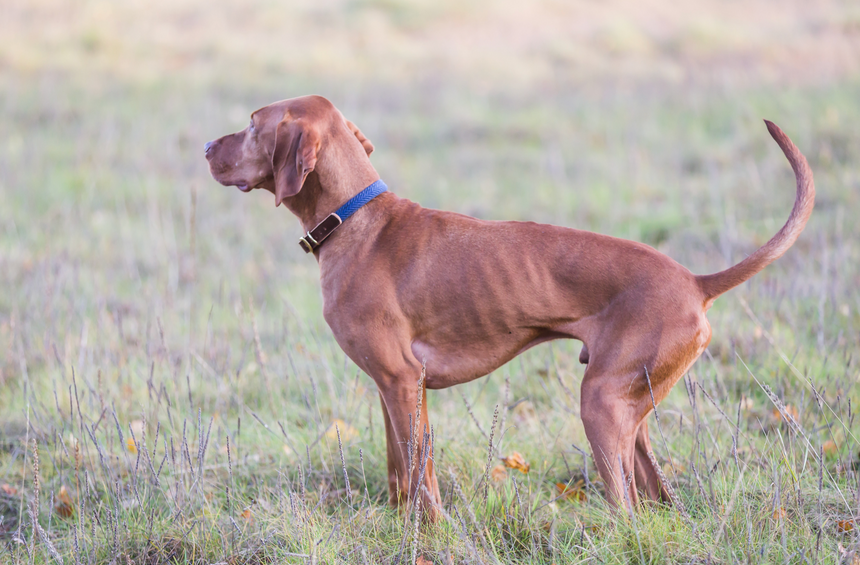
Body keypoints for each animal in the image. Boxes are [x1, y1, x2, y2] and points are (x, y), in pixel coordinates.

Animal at [205, 96, 816, 516]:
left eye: (253, 124)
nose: (206, 148)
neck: (355, 221)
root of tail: (694, 280)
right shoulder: (391, 387)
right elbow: (401, 470)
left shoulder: (402, 381)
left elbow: (421, 475)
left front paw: (431, 533)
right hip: (631, 410)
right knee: (657, 497)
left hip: (601, 406)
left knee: (628, 508)